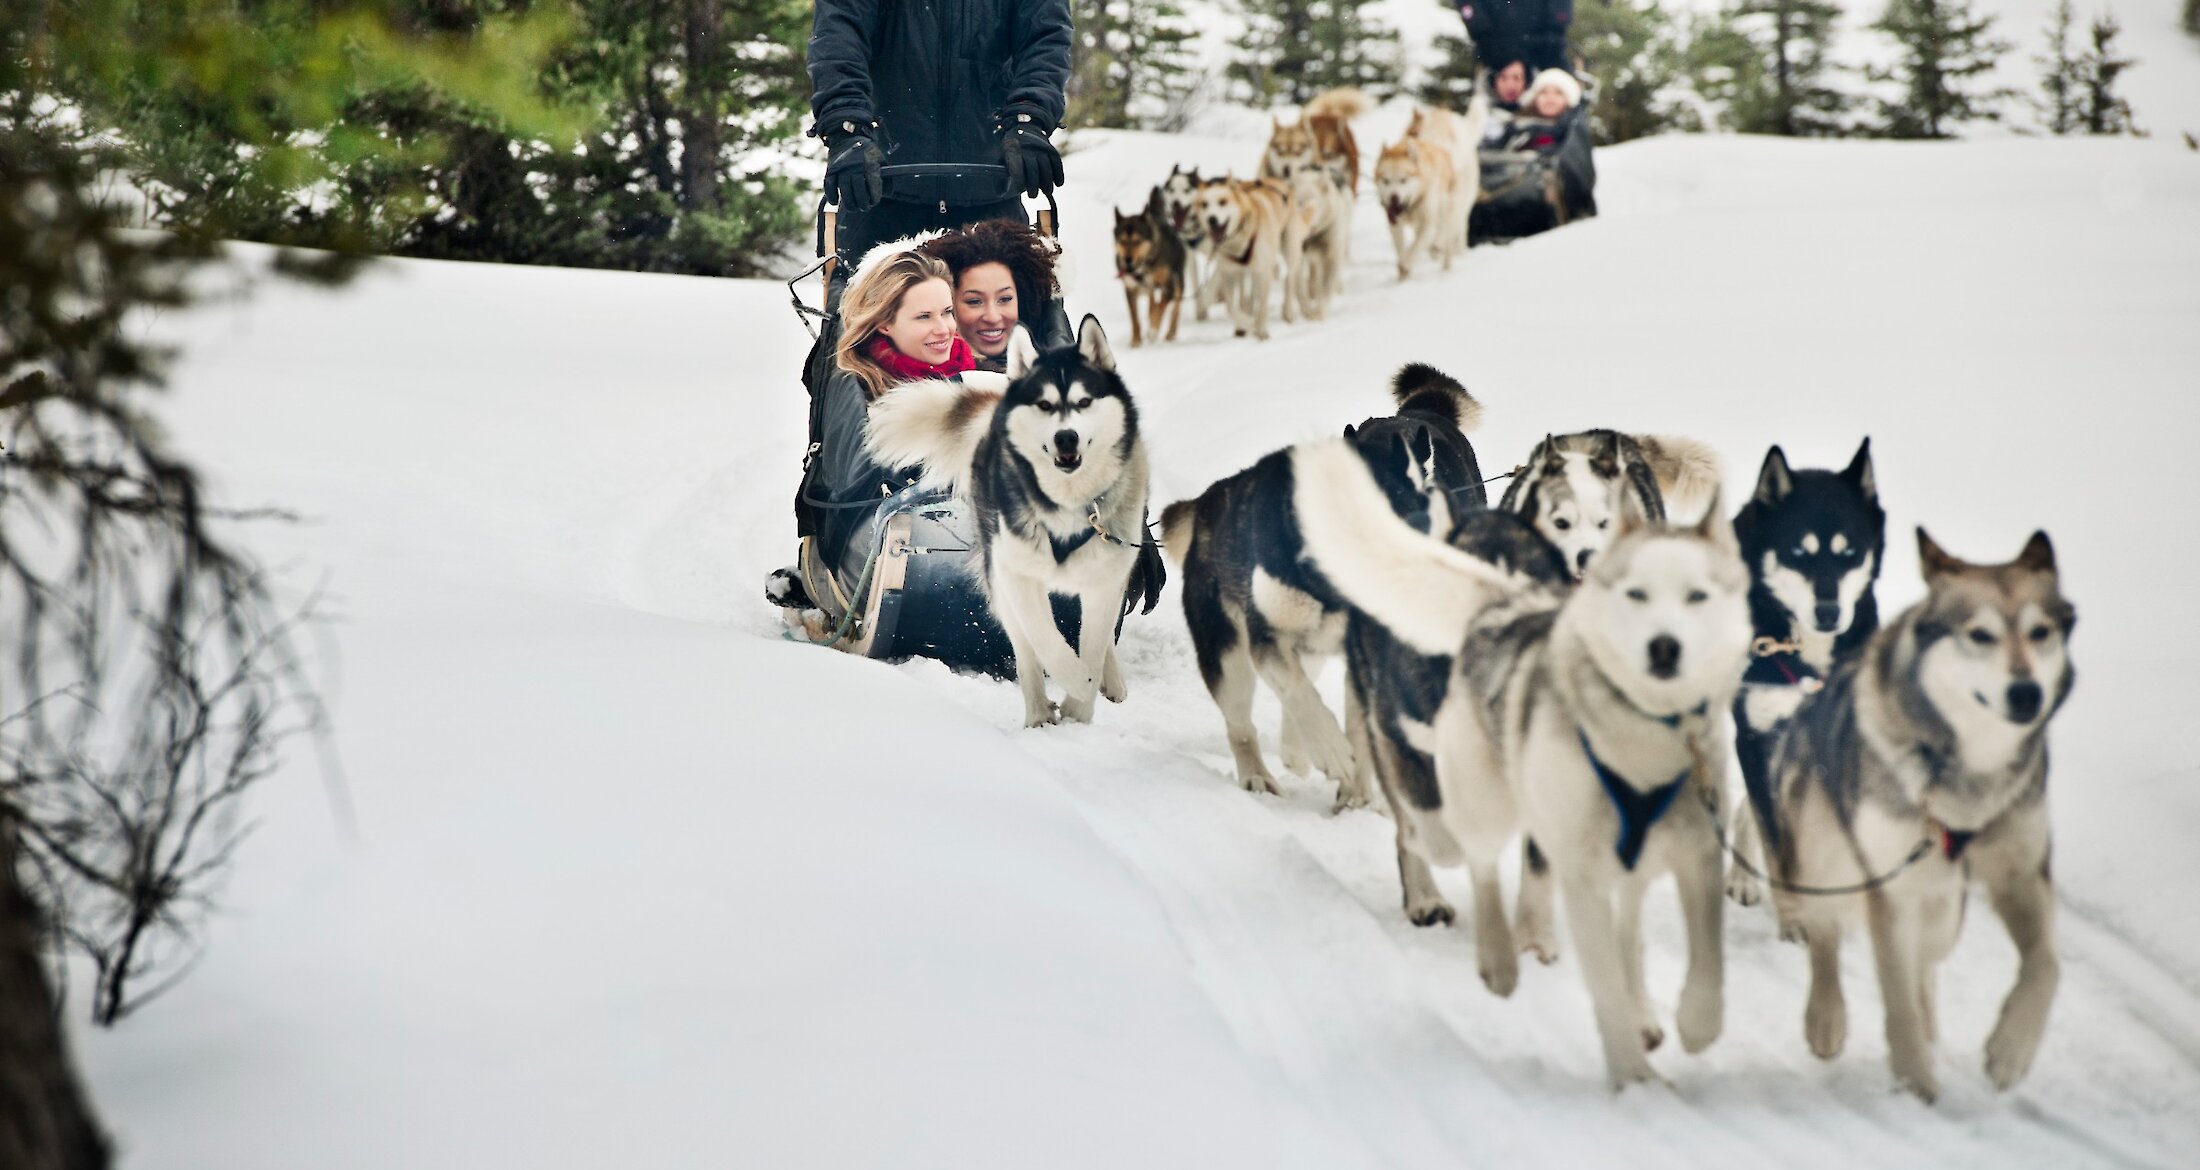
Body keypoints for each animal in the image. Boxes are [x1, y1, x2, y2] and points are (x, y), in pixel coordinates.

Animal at [866, 314, 1161, 725]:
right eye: (1043, 404)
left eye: (1085, 402)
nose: (1065, 438)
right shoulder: (1015, 576)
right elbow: (1044, 642)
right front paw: (1070, 688)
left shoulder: (1104, 581)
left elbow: (1093, 642)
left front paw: (1081, 705)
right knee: (1027, 648)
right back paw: (1039, 712)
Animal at [1293, 444, 1742, 1090]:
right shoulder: (1402, 738)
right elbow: (1430, 827)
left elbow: (1539, 866)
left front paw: (1535, 935)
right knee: (1412, 826)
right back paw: (1426, 892)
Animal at [1760, 525, 2068, 1099]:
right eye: (1980, 635)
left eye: (2040, 631)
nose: (2025, 693)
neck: (1967, 774)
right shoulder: (1889, 887)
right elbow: (1894, 993)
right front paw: (1915, 1083)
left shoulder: (2020, 870)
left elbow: (2046, 964)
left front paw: (2011, 1050)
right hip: (1829, 856)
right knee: (1826, 935)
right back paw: (1827, 1018)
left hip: (1943, 903)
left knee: (1926, 962)